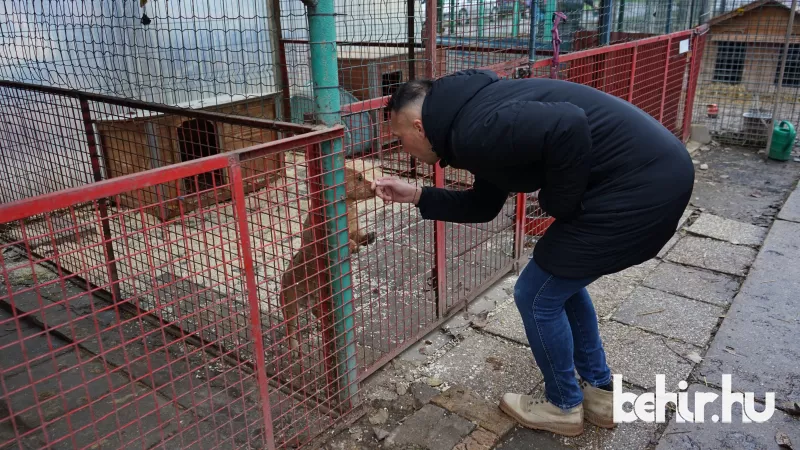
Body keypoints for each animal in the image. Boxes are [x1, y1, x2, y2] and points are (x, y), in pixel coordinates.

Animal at [280, 163, 376, 370]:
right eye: (359, 178)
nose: (374, 188)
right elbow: (346, 242)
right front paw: (353, 246)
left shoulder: (354, 229)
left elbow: (358, 235)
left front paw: (368, 237)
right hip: (290, 306)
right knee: (291, 330)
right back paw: (295, 347)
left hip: (318, 300)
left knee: (319, 314)